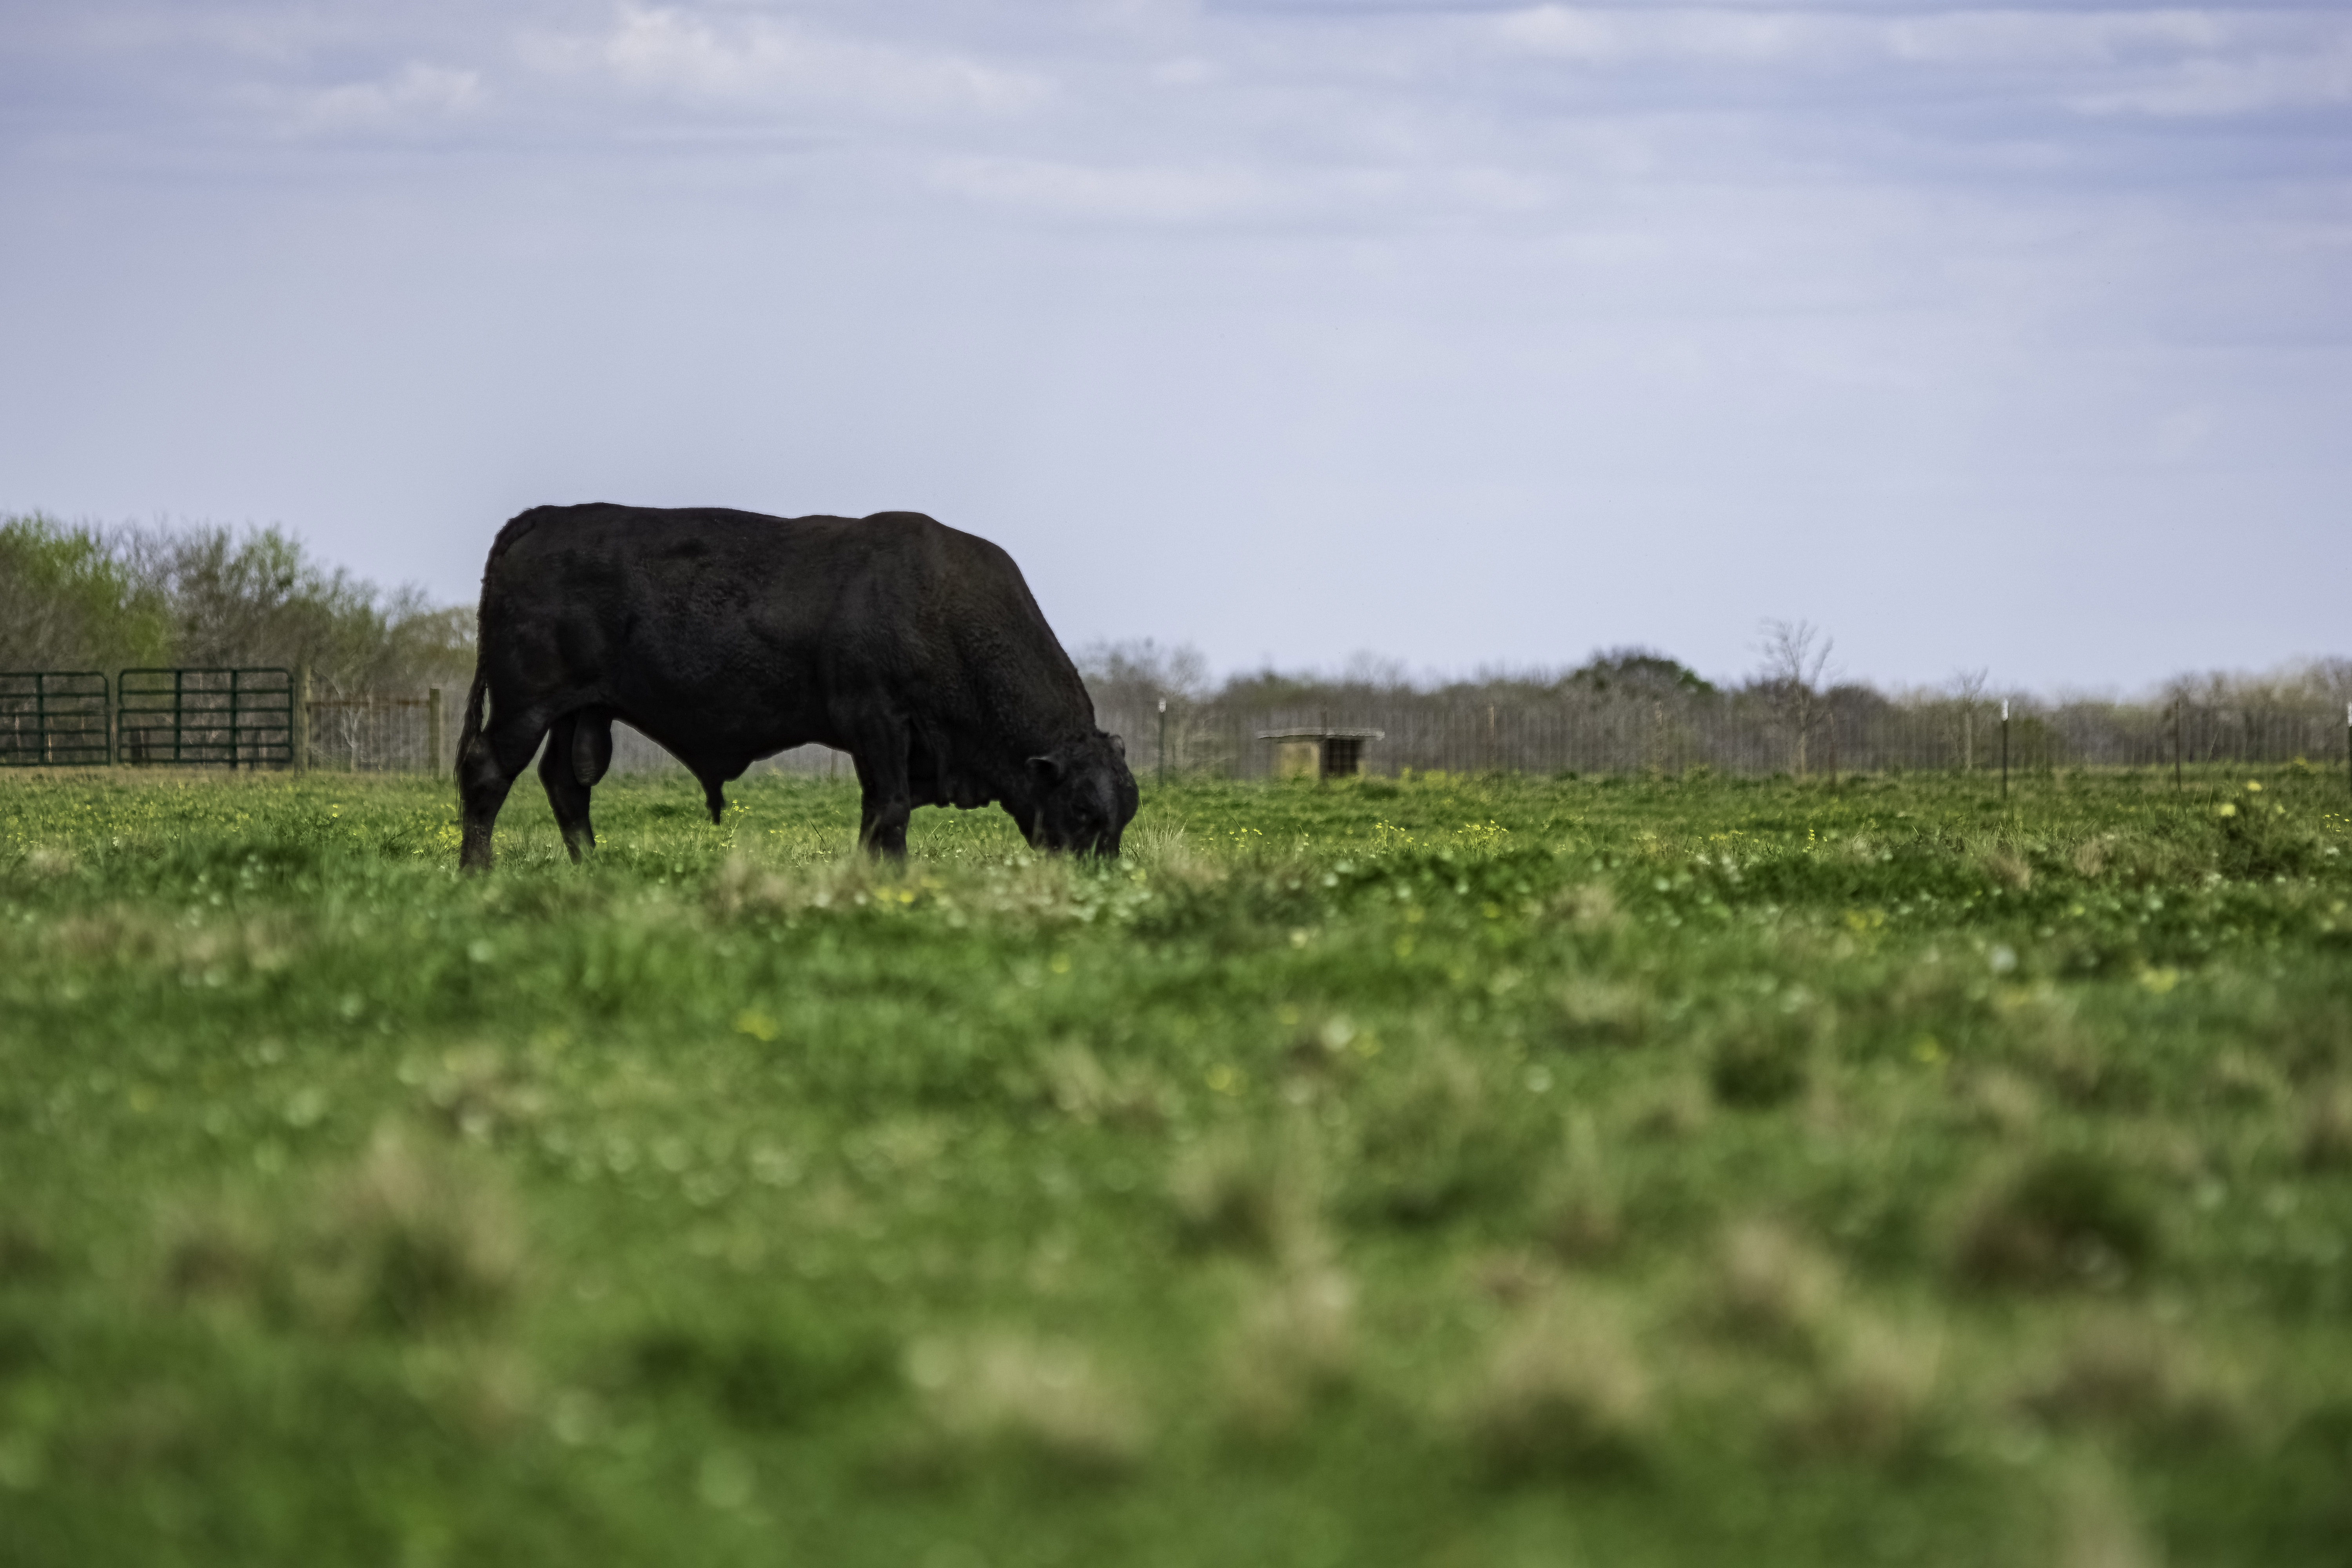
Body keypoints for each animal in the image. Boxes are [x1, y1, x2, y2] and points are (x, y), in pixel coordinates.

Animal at [453, 504, 1137, 869]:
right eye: (1084, 812)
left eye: (1124, 815)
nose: (1096, 882)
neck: (937, 606)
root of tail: (549, 516)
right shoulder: (877, 721)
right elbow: (889, 811)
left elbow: (878, 814)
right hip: (524, 705)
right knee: (487, 772)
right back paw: (476, 873)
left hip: (578, 710)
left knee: (566, 786)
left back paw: (592, 870)